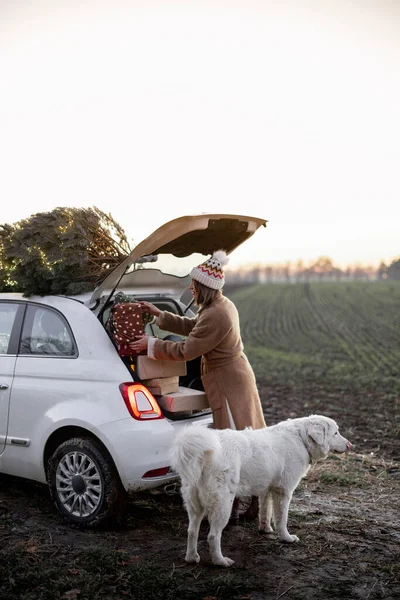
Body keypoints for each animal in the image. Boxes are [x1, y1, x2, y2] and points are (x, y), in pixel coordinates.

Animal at [170, 414, 352, 564]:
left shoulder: (267, 491)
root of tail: (205, 453)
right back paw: (220, 561)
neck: (301, 438)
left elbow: (265, 512)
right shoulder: (283, 492)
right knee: (213, 536)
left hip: (195, 506)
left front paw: (265, 530)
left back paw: (192, 558)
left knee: (192, 531)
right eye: (336, 433)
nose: (350, 445)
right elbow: (281, 519)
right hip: (223, 506)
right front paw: (286, 538)